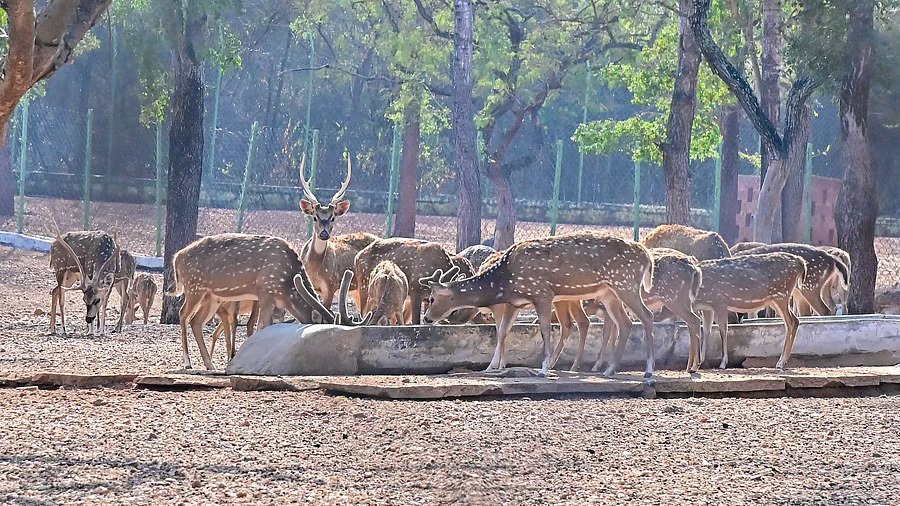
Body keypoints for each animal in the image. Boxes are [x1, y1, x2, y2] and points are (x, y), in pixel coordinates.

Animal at [171, 233, 370, 370]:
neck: (286, 284)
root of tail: (176, 257)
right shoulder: (265, 291)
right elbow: (262, 326)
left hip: (212, 297)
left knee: (196, 321)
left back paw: (210, 364)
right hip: (194, 288)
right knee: (183, 315)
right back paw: (188, 363)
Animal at [298, 153, 379, 309]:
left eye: (333, 218)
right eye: (315, 217)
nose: (324, 234)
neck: (314, 269)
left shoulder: (331, 285)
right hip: (356, 291)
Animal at [420, 231, 656, 378]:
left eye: (432, 299)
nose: (427, 318)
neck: (506, 280)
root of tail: (648, 257)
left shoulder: (542, 293)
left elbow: (544, 330)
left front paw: (542, 370)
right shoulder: (514, 303)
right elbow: (502, 332)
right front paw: (491, 368)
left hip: (625, 283)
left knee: (646, 316)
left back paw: (648, 371)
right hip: (610, 293)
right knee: (624, 323)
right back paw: (609, 370)